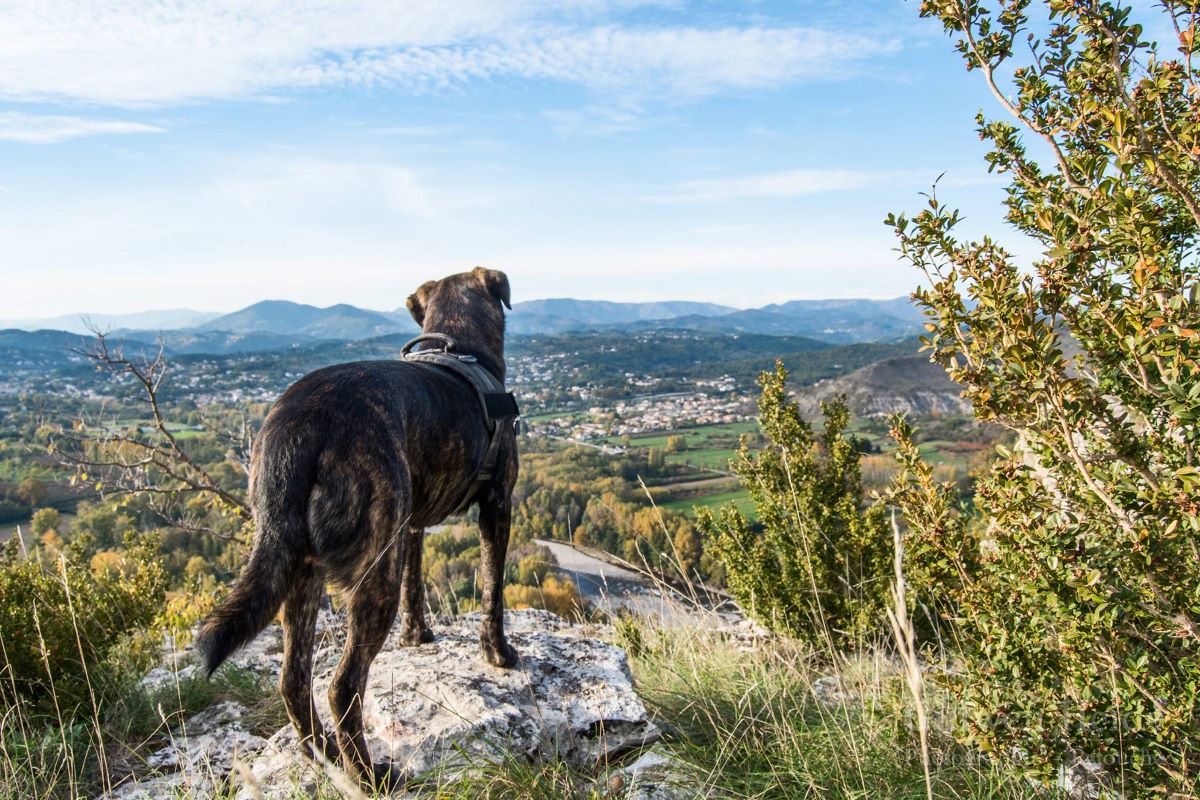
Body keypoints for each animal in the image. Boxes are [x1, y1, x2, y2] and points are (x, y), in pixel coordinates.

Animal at [194, 267, 518, 782]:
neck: (457, 346)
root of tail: (297, 428)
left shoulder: (412, 525)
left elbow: (415, 585)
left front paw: (417, 636)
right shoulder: (498, 502)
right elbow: (493, 588)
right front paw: (499, 654)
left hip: (300, 568)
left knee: (293, 680)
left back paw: (324, 754)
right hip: (372, 569)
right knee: (342, 685)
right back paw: (369, 775)